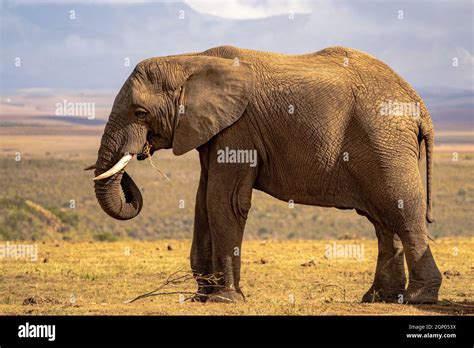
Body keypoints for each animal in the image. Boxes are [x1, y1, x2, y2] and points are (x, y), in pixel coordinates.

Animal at [88, 45, 440, 304]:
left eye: (140, 113)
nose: (139, 153)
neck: (190, 59)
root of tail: (419, 104)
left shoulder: (238, 128)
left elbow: (224, 201)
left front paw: (225, 300)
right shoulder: (214, 131)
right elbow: (203, 201)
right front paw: (201, 298)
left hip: (385, 141)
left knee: (402, 209)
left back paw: (418, 299)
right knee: (384, 220)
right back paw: (379, 298)